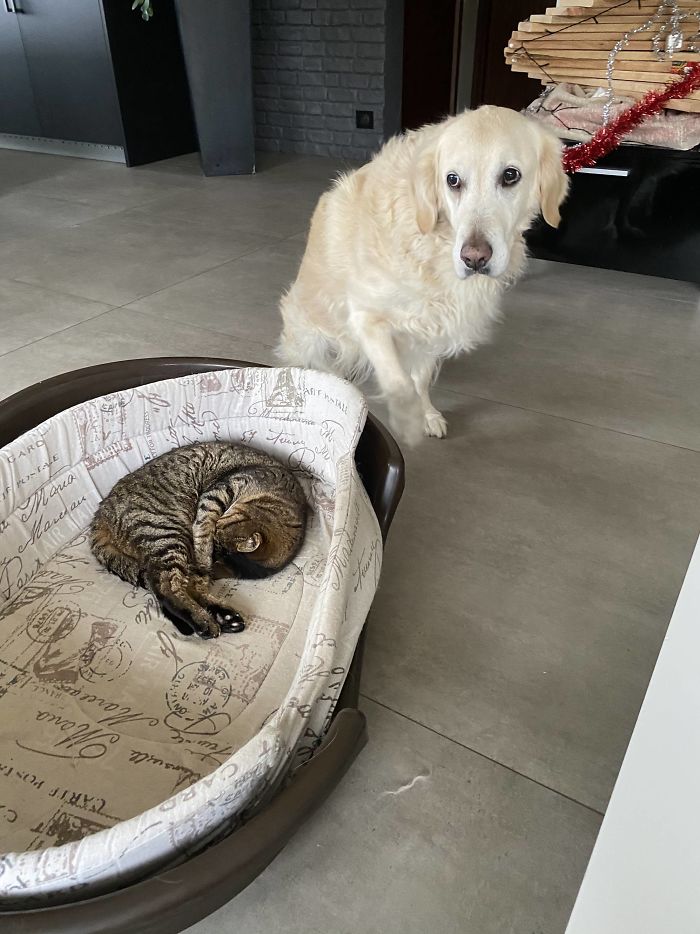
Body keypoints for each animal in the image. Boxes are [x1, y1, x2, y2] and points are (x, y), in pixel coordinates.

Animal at [89, 442, 306, 640]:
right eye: (216, 540)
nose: (209, 559)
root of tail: (100, 516)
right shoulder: (220, 491)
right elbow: (204, 525)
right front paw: (203, 549)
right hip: (168, 533)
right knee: (166, 587)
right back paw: (204, 623)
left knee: (176, 585)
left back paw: (225, 618)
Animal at [276, 106, 568, 442]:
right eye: (452, 179)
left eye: (510, 175)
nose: (474, 258)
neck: (432, 242)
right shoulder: (366, 318)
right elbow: (398, 381)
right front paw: (408, 421)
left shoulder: (432, 328)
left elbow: (420, 378)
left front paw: (427, 414)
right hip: (310, 336)